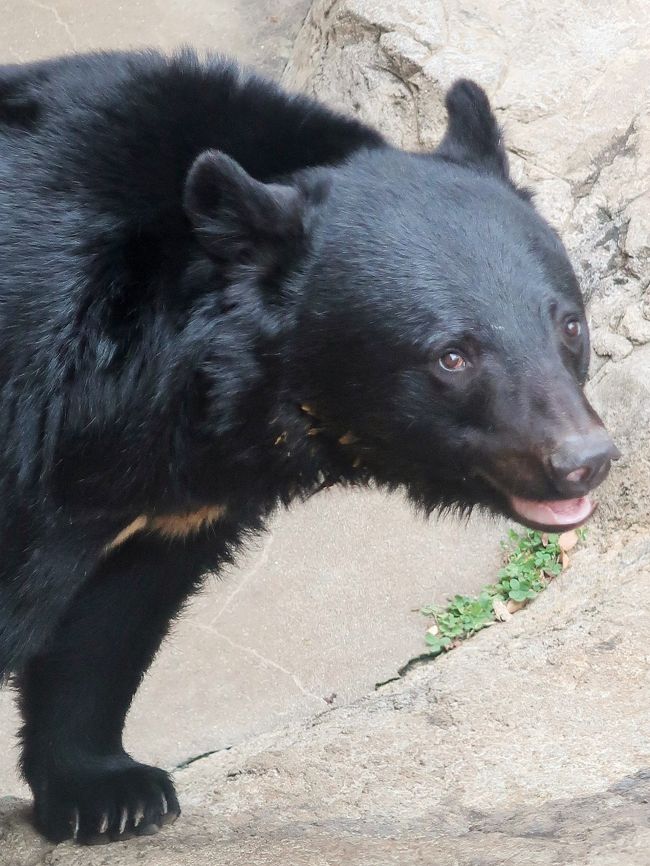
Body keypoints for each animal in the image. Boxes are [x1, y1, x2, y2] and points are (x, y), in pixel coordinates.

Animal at [0, 50, 616, 840]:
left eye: (569, 324)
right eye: (451, 356)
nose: (582, 461)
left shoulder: (171, 493)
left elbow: (109, 621)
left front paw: (108, 793)